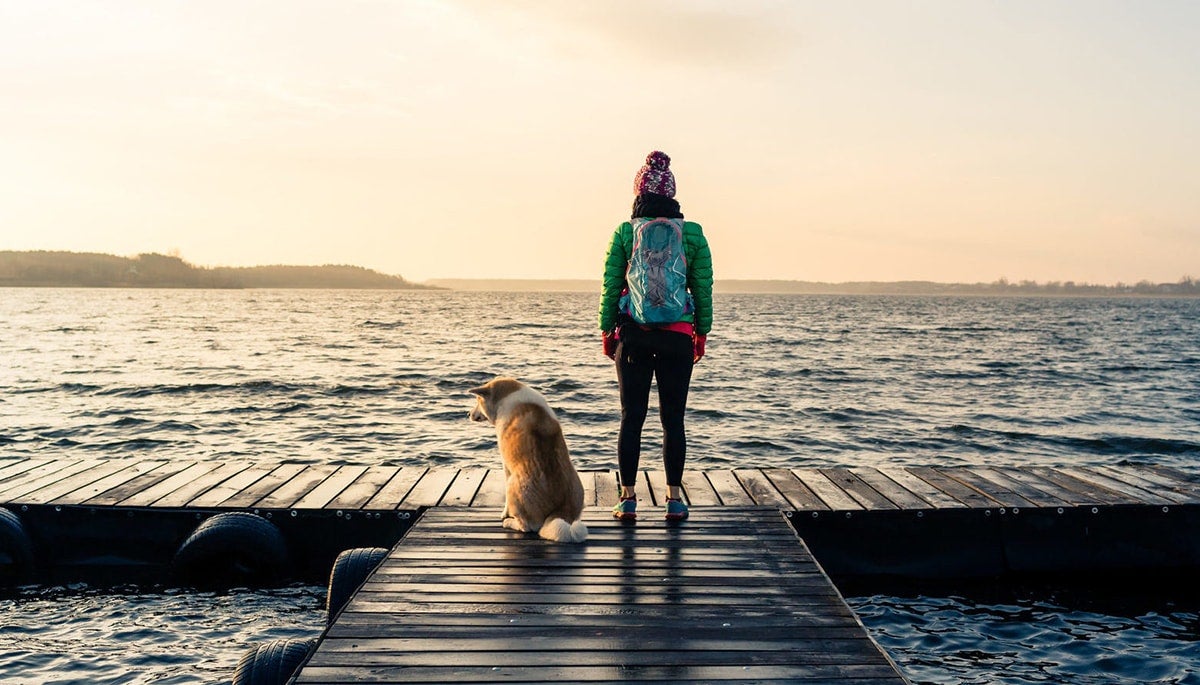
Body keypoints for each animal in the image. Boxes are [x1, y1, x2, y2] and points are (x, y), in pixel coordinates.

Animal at [468, 379, 585, 544]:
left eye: (477, 401)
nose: (468, 414)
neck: (506, 396)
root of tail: (562, 509)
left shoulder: (506, 466)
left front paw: (504, 514)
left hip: (513, 486)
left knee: (526, 527)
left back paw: (508, 522)